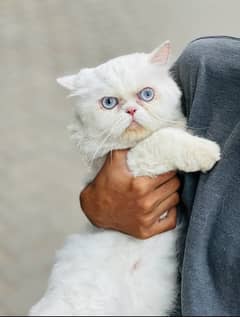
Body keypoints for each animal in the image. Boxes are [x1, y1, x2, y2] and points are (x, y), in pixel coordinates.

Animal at [30, 42, 221, 316]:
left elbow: (170, 131)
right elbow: (164, 138)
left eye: (146, 95)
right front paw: (208, 152)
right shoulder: (133, 162)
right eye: (109, 103)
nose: (131, 110)